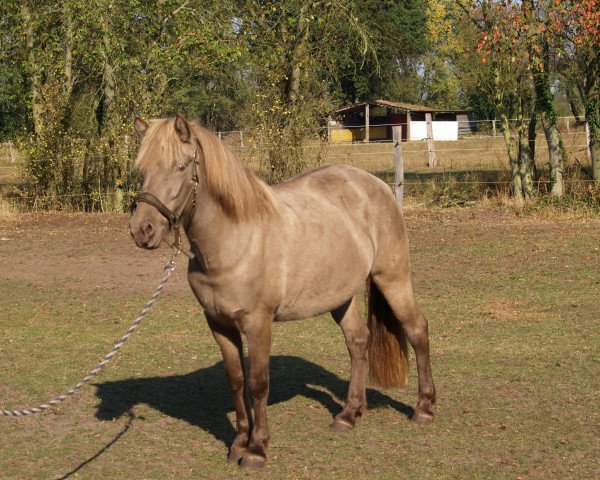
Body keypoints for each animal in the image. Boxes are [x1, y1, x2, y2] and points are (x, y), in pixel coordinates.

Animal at [130, 114, 436, 466]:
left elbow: (258, 384)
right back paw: (349, 414)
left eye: (180, 167)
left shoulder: (258, 324)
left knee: (417, 330)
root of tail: (378, 185)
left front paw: (256, 449)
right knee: (358, 341)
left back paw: (424, 408)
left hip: (393, 278)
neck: (234, 241)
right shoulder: (219, 324)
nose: (142, 230)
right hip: (340, 295)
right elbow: (236, 380)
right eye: (142, 169)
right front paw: (239, 442)